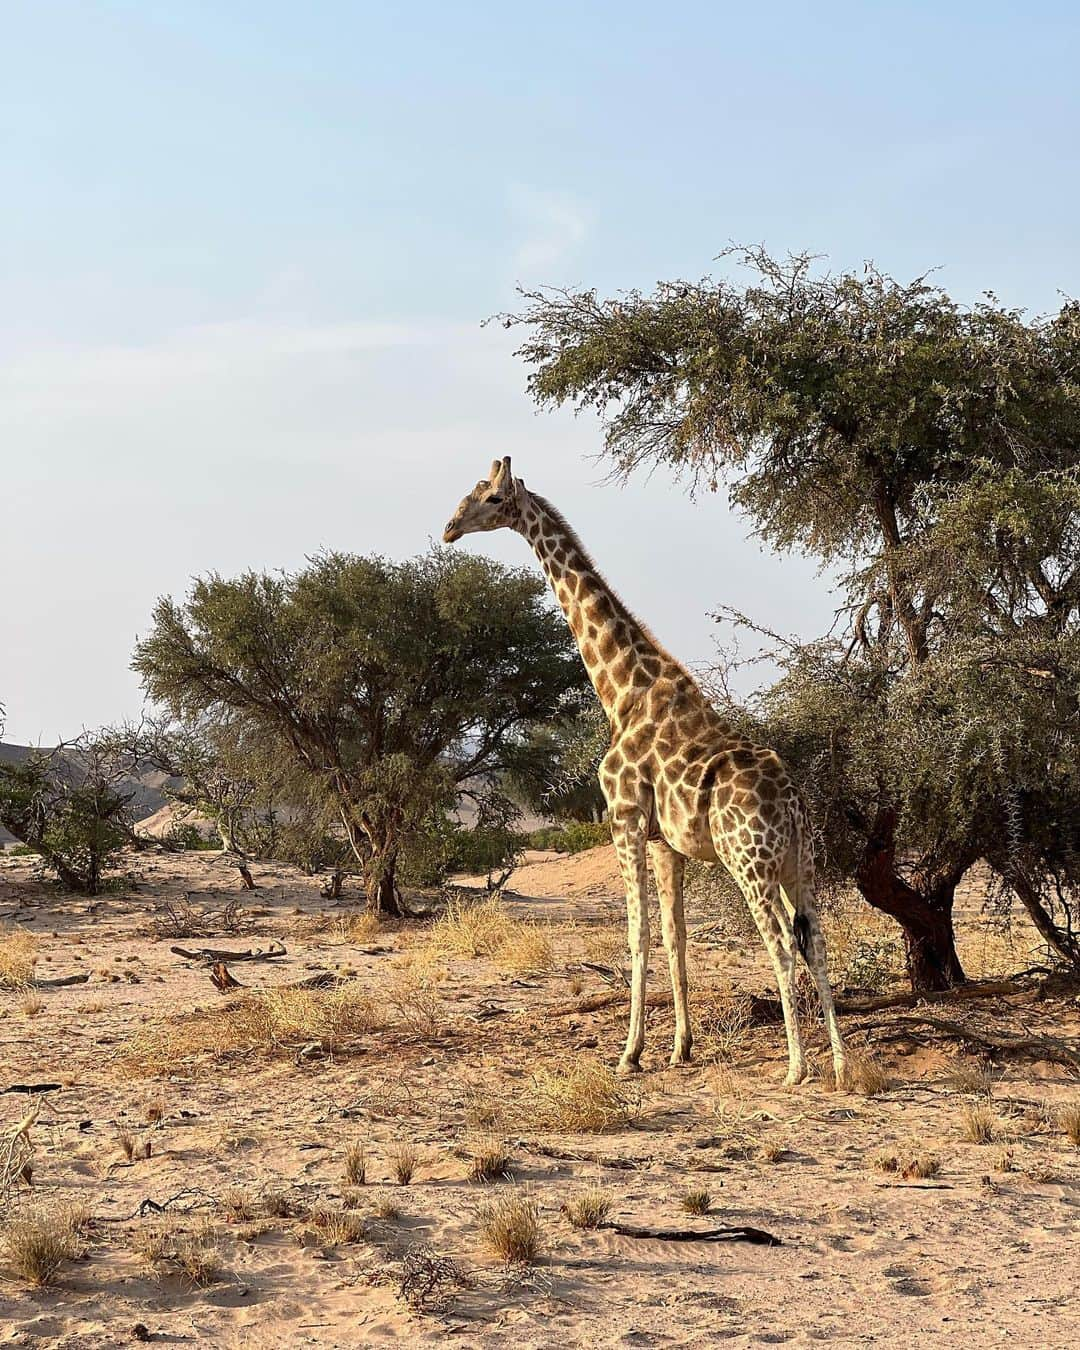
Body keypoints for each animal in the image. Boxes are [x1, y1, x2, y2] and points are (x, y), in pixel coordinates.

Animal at [442, 456, 847, 1085]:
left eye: (490, 497)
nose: (449, 528)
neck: (622, 690)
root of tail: (791, 804)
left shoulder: (624, 818)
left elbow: (637, 935)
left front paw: (629, 1054)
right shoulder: (666, 842)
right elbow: (675, 936)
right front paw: (681, 1048)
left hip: (748, 863)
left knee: (781, 943)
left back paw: (797, 1067)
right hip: (799, 863)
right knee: (817, 938)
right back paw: (843, 1066)